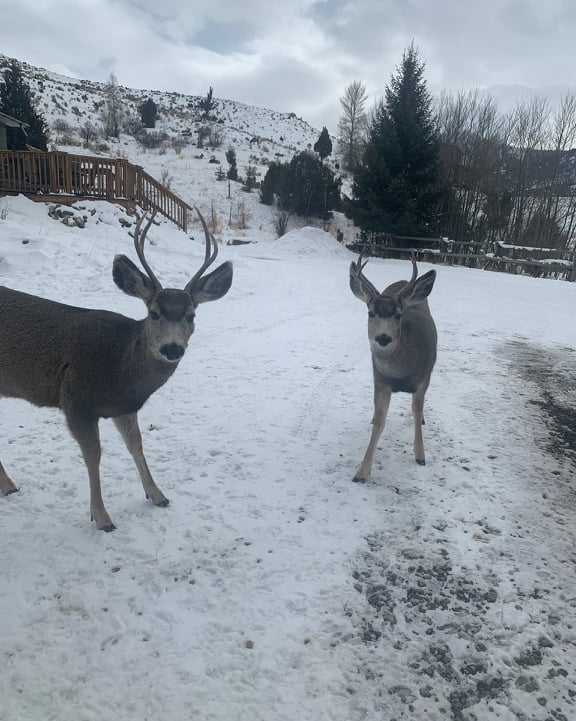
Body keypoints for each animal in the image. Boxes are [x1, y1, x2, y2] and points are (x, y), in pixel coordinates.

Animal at [0, 207, 233, 532]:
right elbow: (94, 456)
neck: (120, 366)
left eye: (191, 315)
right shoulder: (76, 400)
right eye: (154, 313)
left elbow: (136, 445)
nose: (172, 348)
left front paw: (157, 495)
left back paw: (8, 486)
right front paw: (102, 517)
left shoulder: (124, 406)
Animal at [349, 253, 437, 483]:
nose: (383, 337)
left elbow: (416, 409)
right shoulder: (380, 379)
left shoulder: (424, 376)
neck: (401, 373)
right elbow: (380, 421)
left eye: (398, 315)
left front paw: (420, 455)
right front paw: (361, 472)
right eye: (370, 313)